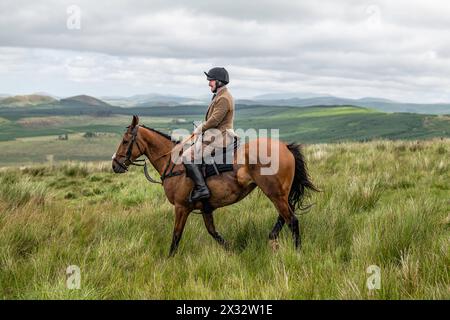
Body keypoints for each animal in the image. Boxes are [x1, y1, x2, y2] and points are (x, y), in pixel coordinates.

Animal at [111, 116, 318, 256]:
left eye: (125, 141)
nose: (115, 165)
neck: (174, 164)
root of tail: (285, 147)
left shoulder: (181, 207)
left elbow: (176, 235)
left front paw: (168, 260)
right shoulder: (206, 208)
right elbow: (214, 233)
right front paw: (232, 251)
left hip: (275, 193)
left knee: (292, 220)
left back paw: (297, 252)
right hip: (281, 194)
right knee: (286, 216)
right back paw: (272, 238)